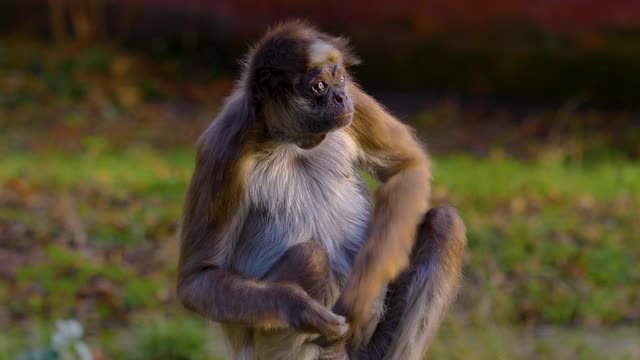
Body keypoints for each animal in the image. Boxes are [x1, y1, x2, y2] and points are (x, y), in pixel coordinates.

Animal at [178, 21, 468, 358]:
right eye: (318, 87)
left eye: (339, 79)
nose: (341, 97)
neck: (291, 142)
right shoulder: (224, 148)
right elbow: (198, 280)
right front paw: (296, 306)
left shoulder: (353, 105)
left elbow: (408, 166)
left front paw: (361, 293)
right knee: (311, 258)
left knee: (444, 223)